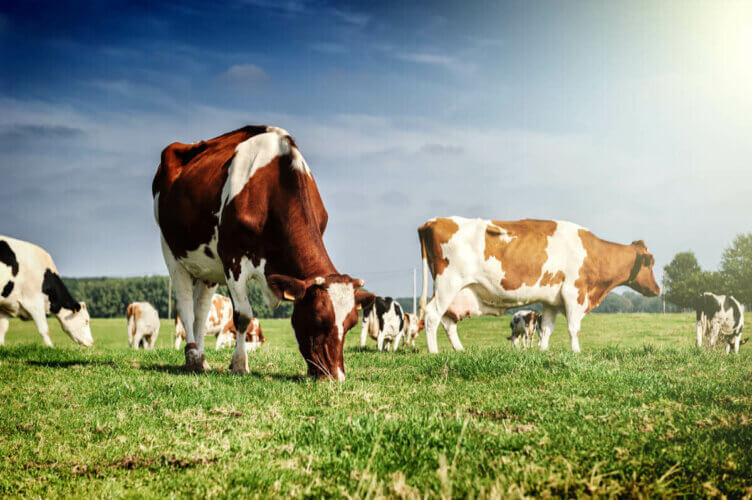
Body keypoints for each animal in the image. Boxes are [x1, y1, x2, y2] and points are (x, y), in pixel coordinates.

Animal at [153, 125, 374, 379]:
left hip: (207, 267)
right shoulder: (233, 260)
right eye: (318, 319)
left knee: (202, 309)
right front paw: (240, 364)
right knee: (186, 306)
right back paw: (192, 357)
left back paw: (201, 359)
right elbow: (243, 315)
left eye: (351, 324)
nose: (336, 377)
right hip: (171, 251)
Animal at [418, 217, 660, 353]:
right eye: (651, 262)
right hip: (447, 284)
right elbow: (573, 328)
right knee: (432, 316)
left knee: (448, 321)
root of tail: (433, 221)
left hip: (456, 292)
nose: (658, 289)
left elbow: (546, 330)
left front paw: (543, 351)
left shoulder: (551, 300)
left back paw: (460, 350)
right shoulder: (574, 292)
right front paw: (577, 352)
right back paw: (434, 352)